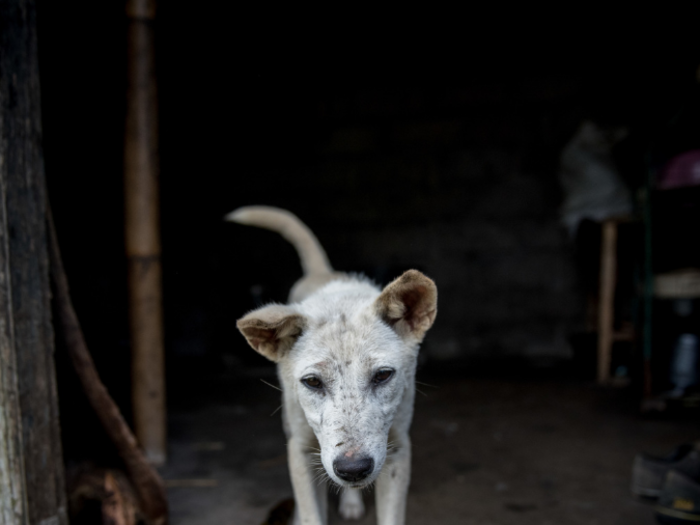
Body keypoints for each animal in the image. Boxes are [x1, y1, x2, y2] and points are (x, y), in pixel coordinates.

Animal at [227, 207, 438, 524]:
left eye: (383, 375)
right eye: (313, 382)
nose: (354, 470)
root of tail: (323, 272)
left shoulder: (398, 450)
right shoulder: (300, 451)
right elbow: (311, 513)